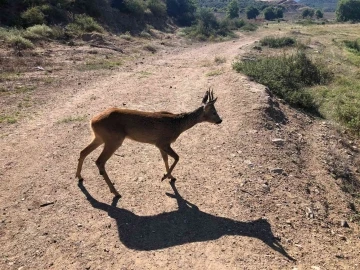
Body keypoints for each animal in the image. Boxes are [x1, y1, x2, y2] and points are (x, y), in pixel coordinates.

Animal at [76, 89, 222, 197]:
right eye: (214, 112)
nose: (220, 120)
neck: (178, 124)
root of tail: (92, 121)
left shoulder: (159, 144)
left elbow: (165, 159)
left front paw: (170, 176)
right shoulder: (163, 142)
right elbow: (176, 157)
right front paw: (165, 177)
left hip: (100, 137)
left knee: (83, 151)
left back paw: (79, 177)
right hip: (114, 140)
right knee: (99, 161)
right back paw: (116, 192)